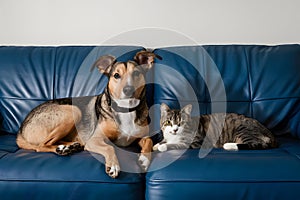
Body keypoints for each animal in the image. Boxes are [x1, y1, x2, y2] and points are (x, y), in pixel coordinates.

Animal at [16, 50, 162, 178]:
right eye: (116, 75)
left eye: (136, 73)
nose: (128, 89)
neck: (126, 108)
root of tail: (21, 130)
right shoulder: (94, 140)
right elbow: (110, 147)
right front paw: (113, 166)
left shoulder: (142, 135)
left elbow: (149, 140)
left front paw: (144, 159)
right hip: (73, 111)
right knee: (41, 145)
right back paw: (63, 149)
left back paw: (69, 147)